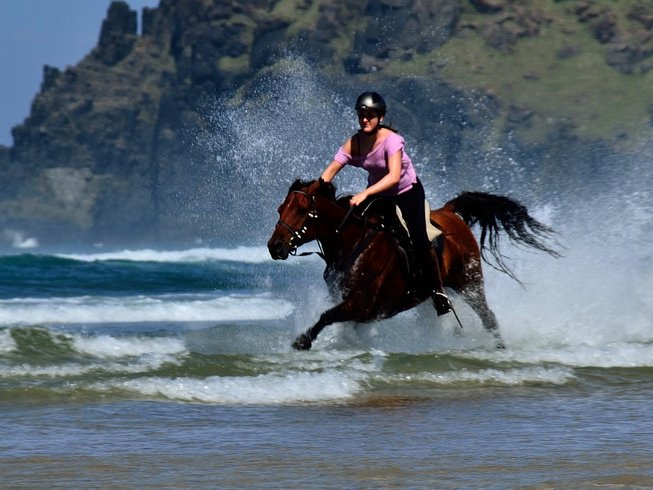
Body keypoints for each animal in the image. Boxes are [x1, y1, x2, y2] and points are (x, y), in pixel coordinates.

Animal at [264, 178, 556, 350]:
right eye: (280, 209)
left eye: (302, 210)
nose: (275, 246)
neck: (353, 242)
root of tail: (450, 212)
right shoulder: (357, 310)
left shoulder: (360, 304)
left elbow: (326, 316)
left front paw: (302, 341)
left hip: (469, 283)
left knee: (489, 318)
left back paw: (500, 348)